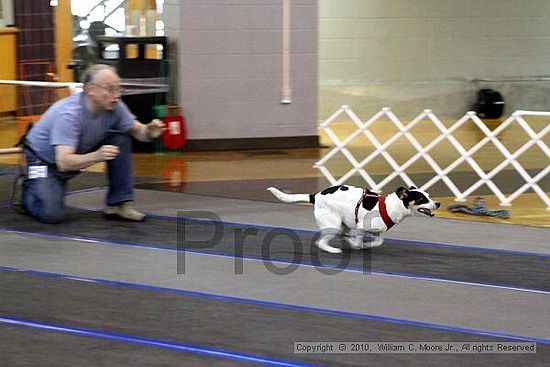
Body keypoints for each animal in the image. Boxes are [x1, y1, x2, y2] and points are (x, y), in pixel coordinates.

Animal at [270, 185, 442, 254]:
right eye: (421, 199)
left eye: (428, 195)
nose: (438, 203)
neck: (391, 206)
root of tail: (316, 196)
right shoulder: (360, 227)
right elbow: (358, 242)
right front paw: (357, 244)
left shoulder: (378, 231)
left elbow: (379, 241)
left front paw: (367, 244)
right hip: (333, 225)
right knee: (321, 242)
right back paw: (333, 249)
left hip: (344, 222)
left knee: (341, 234)